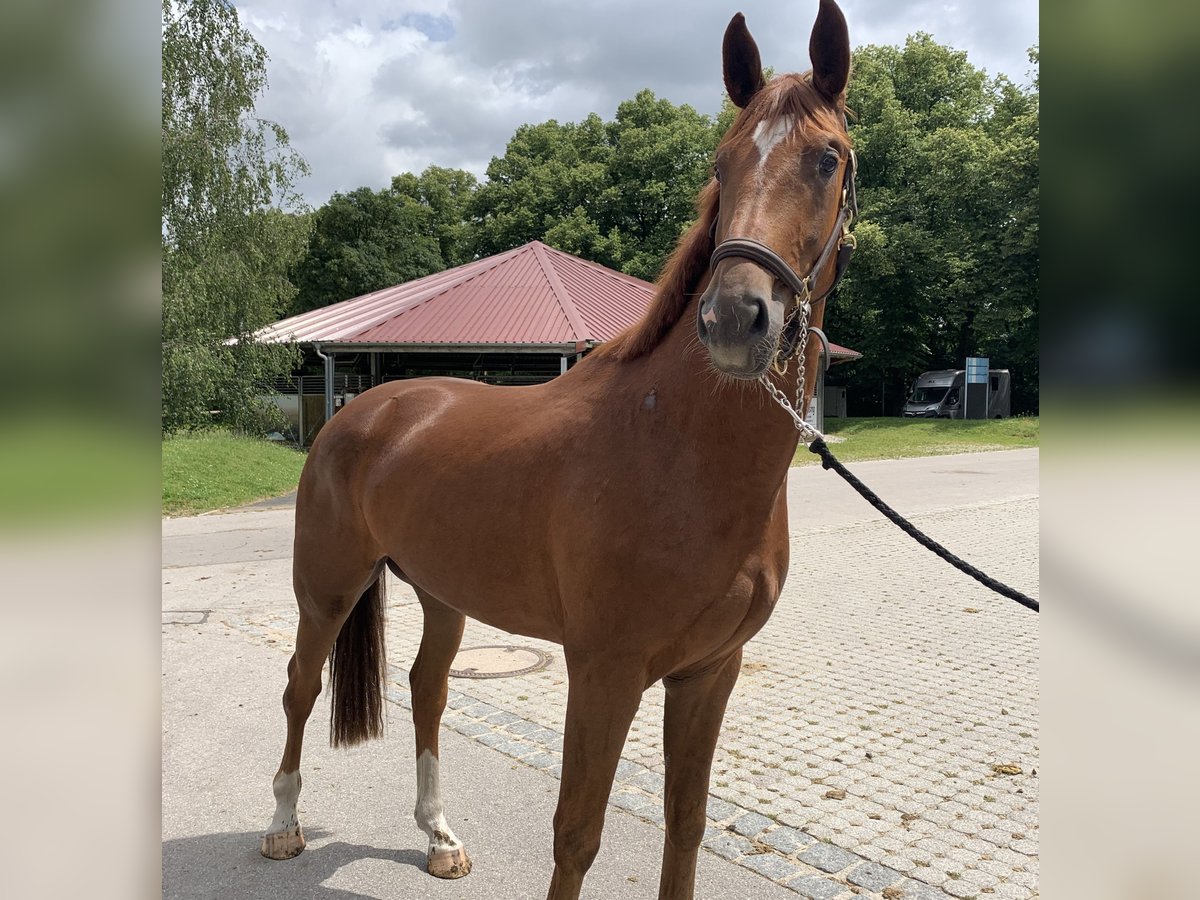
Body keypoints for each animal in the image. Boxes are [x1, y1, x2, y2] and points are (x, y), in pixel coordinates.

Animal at [262, 3, 859, 897]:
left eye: (828, 158)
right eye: (721, 165)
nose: (732, 319)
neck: (680, 453)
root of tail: (362, 410)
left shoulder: (709, 673)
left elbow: (686, 826)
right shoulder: (604, 670)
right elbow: (576, 833)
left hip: (443, 591)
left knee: (428, 689)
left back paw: (439, 836)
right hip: (326, 589)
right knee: (302, 687)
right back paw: (282, 824)